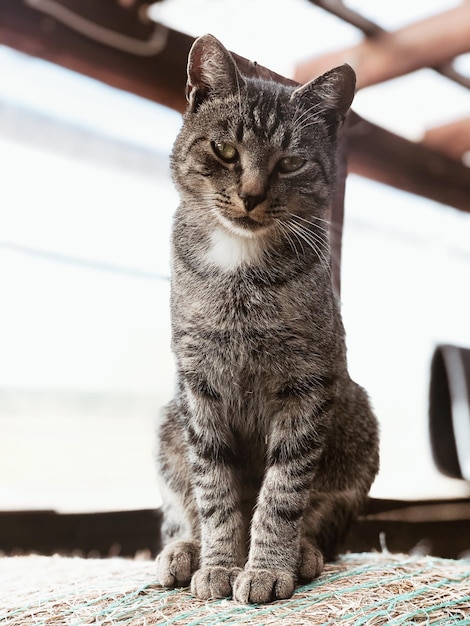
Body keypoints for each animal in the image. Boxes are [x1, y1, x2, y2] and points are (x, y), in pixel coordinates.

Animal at [156, 35, 380, 604]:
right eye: (225, 151)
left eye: (291, 162)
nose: (252, 195)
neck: (240, 267)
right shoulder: (198, 383)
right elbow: (214, 490)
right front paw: (218, 563)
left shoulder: (307, 382)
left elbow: (282, 492)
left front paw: (265, 568)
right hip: (168, 423)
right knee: (182, 506)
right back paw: (183, 551)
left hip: (359, 424)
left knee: (320, 516)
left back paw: (302, 553)